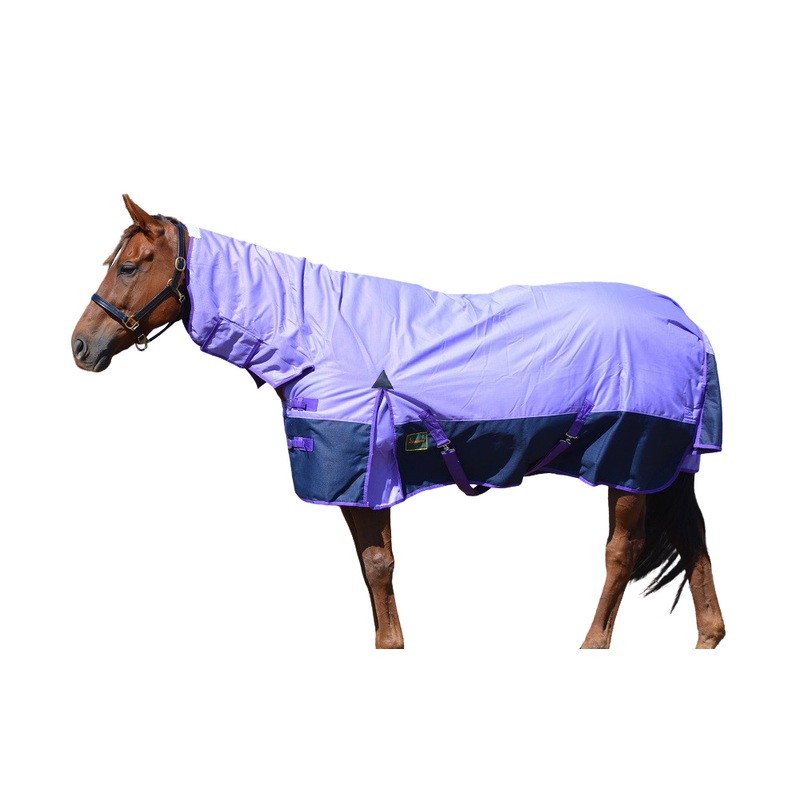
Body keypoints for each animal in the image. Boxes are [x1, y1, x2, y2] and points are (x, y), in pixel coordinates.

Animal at [71, 195, 726, 649]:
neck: (312, 333)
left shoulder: (361, 469)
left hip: (631, 456)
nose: (80, 345)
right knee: (693, 537)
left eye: (129, 267)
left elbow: (377, 567)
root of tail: (686, 323)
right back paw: (708, 636)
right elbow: (374, 569)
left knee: (622, 552)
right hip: (671, 466)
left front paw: (390, 645)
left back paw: (593, 643)